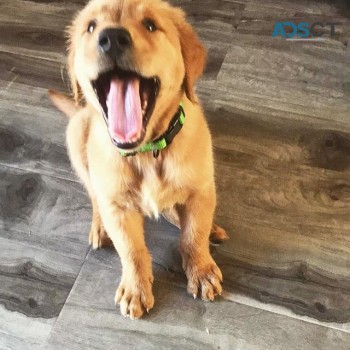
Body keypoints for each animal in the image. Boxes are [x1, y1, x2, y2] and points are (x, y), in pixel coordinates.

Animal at [50, 0, 228, 320]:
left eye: (150, 24)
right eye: (91, 27)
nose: (111, 38)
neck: (148, 152)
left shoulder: (201, 190)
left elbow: (193, 235)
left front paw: (201, 270)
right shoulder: (118, 208)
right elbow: (131, 251)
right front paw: (135, 289)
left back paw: (208, 227)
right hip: (77, 136)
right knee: (94, 196)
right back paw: (99, 227)